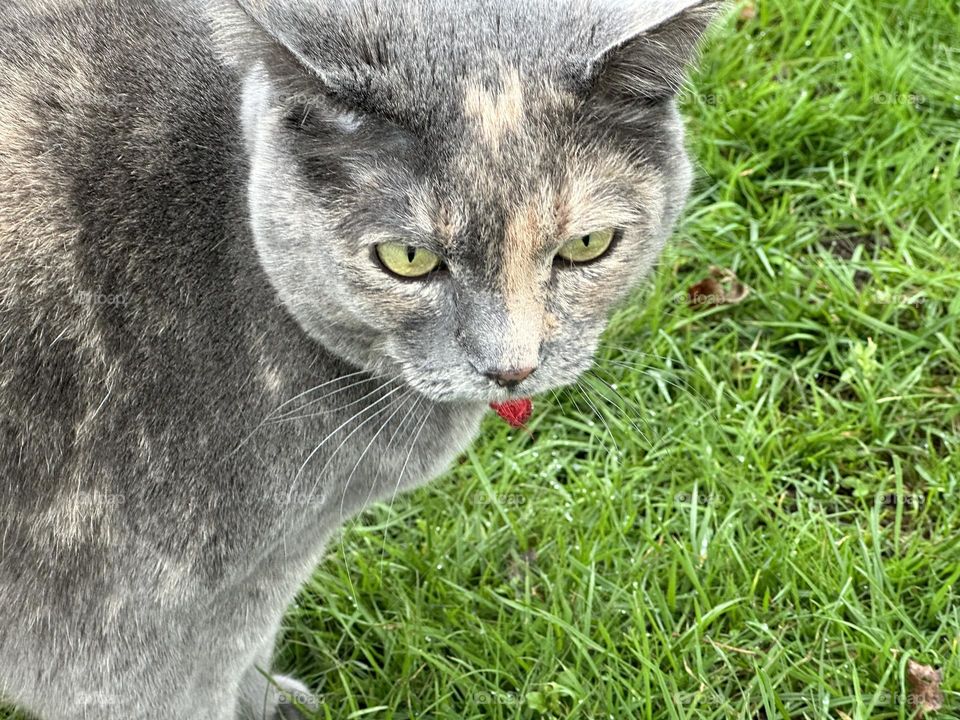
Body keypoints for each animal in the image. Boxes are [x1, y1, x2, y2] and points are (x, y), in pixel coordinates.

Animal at [0, 0, 720, 716]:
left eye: (587, 247)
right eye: (407, 259)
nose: (510, 366)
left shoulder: (263, 571)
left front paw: (274, 700)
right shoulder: (122, 623)